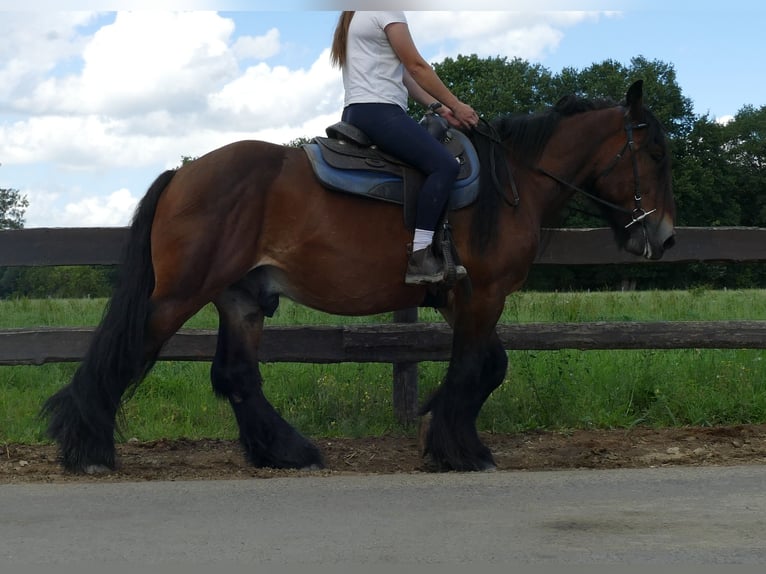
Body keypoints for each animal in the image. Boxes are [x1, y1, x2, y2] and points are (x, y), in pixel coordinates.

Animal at [42, 80, 675, 473]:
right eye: (655, 154)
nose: (665, 237)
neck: (510, 181)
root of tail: (184, 173)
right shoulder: (484, 295)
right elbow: (476, 368)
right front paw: (458, 448)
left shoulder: (460, 297)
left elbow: (489, 367)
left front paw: (439, 431)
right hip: (178, 295)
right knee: (122, 354)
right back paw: (88, 447)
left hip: (240, 298)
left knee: (236, 375)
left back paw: (286, 451)